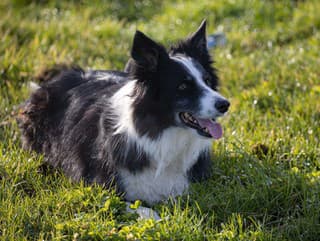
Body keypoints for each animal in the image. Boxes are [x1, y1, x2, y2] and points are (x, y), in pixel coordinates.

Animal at [17, 19, 229, 206]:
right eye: (183, 86)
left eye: (208, 81)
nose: (225, 104)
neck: (162, 134)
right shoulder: (103, 188)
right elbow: (142, 209)